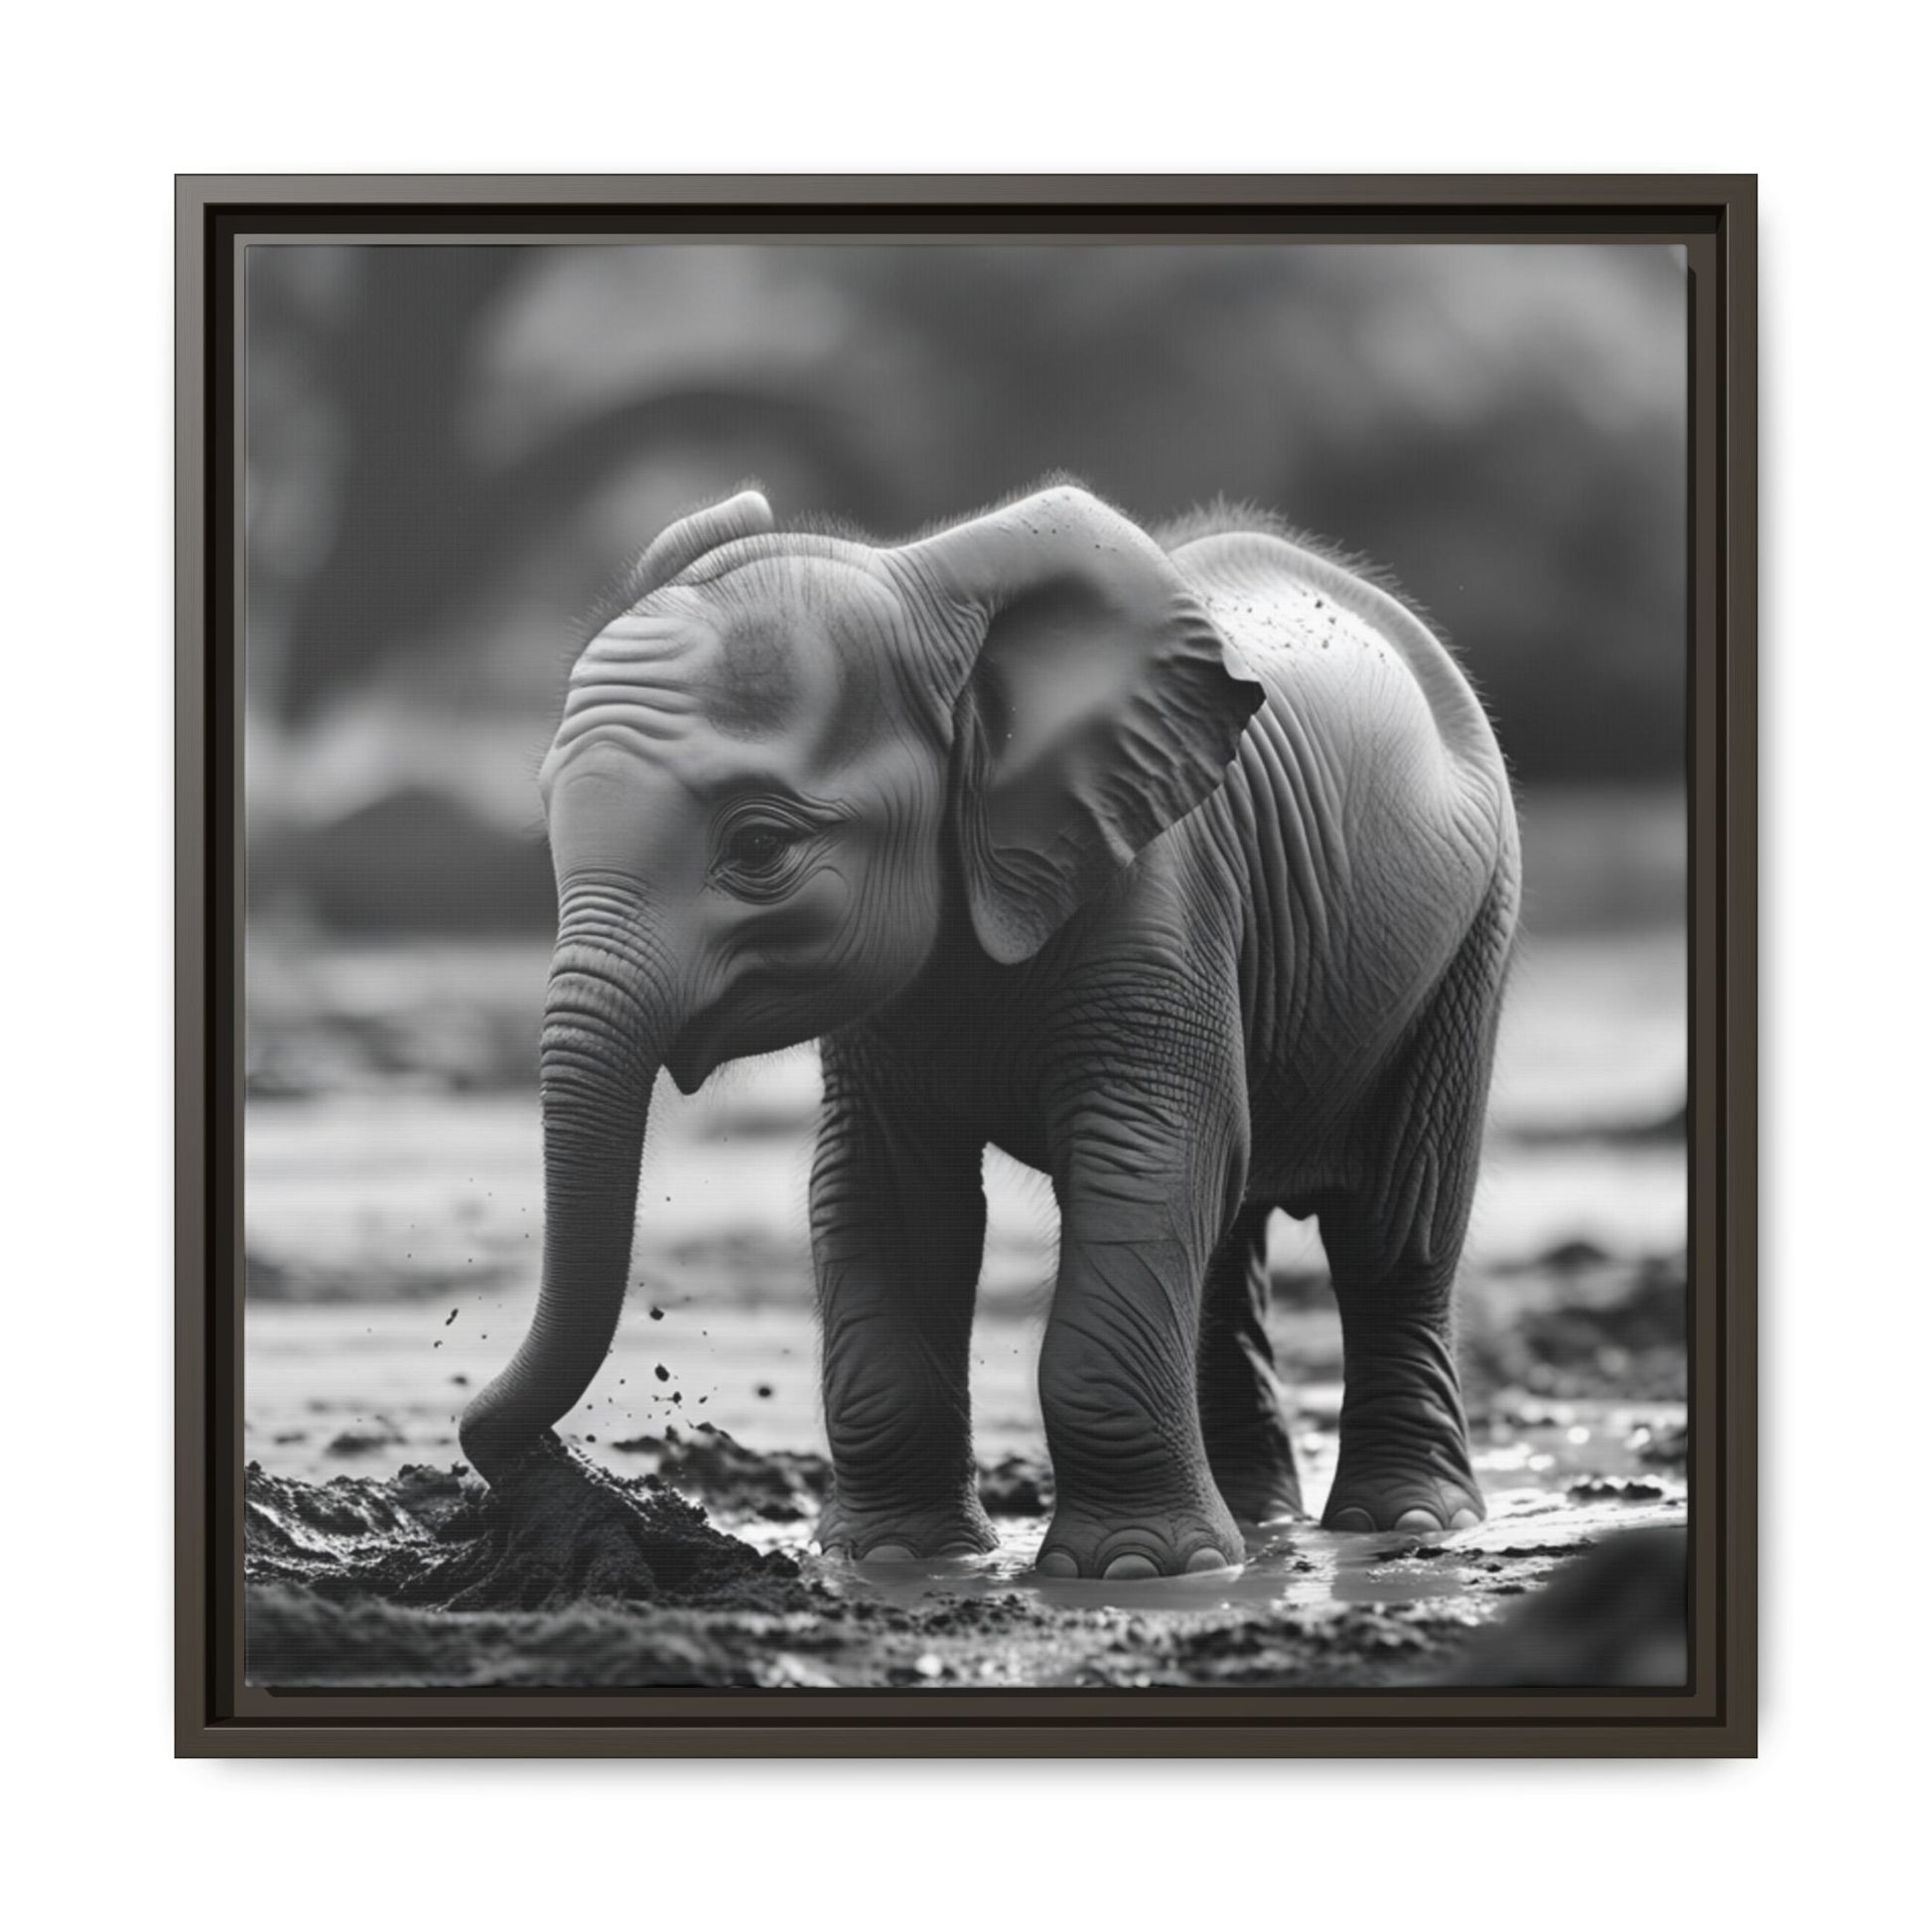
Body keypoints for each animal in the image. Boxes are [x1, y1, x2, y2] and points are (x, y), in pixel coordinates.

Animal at [458, 479, 1520, 1580]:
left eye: (758, 847)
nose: (561, 1476)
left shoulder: (1161, 890)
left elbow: (1143, 1158)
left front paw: (1132, 1570)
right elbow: (885, 1194)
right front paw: (893, 1559)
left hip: (1471, 930)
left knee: (1394, 1225)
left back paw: (1404, 1522)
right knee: (1230, 1236)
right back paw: (1258, 1526)